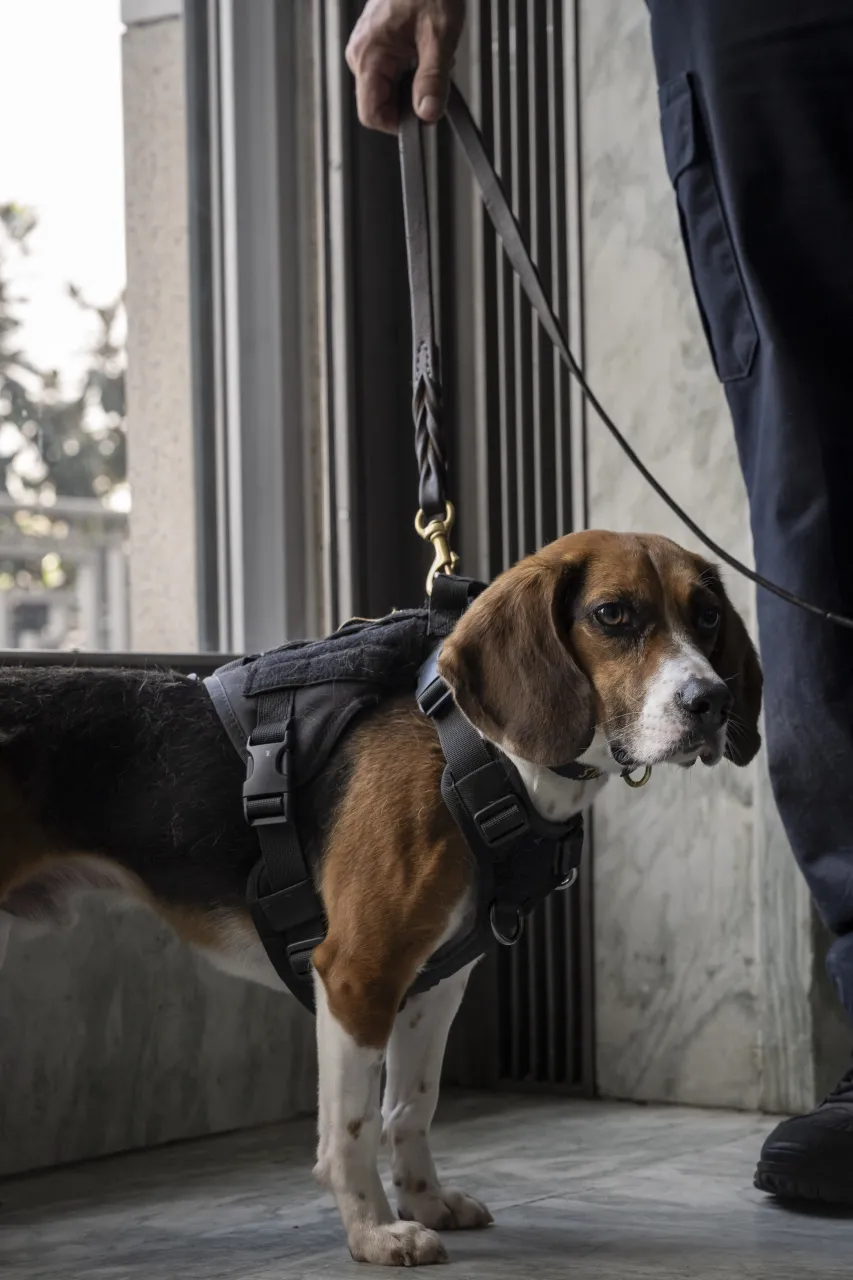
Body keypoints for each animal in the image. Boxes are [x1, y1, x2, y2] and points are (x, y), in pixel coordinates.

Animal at [0, 532, 758, 1269]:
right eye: (612, 615)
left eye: (706, 616)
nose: (712, 702)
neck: (479, 755)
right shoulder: (357, 974)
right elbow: (353, 1128)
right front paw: (373, 1231)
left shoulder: (435, 982)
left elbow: (410, 1107)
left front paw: (423, 1199)